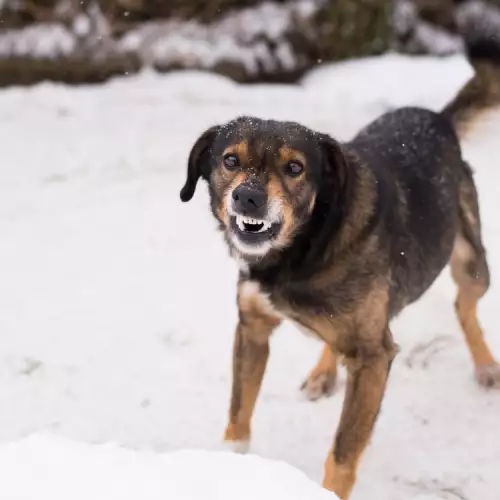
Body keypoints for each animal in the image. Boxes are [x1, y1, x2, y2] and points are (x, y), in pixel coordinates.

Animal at [182, 15, 500, 500]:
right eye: (230, 161)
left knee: (464, 306)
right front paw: (231, 468)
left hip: (471, 263)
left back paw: (486, 366)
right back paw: (324, 372)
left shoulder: (374, 357)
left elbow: (343, 453)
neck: (303, 252)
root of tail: (437, 119)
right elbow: (238, 415)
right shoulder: (252, 327)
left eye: (295, 168)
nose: (248, 197)